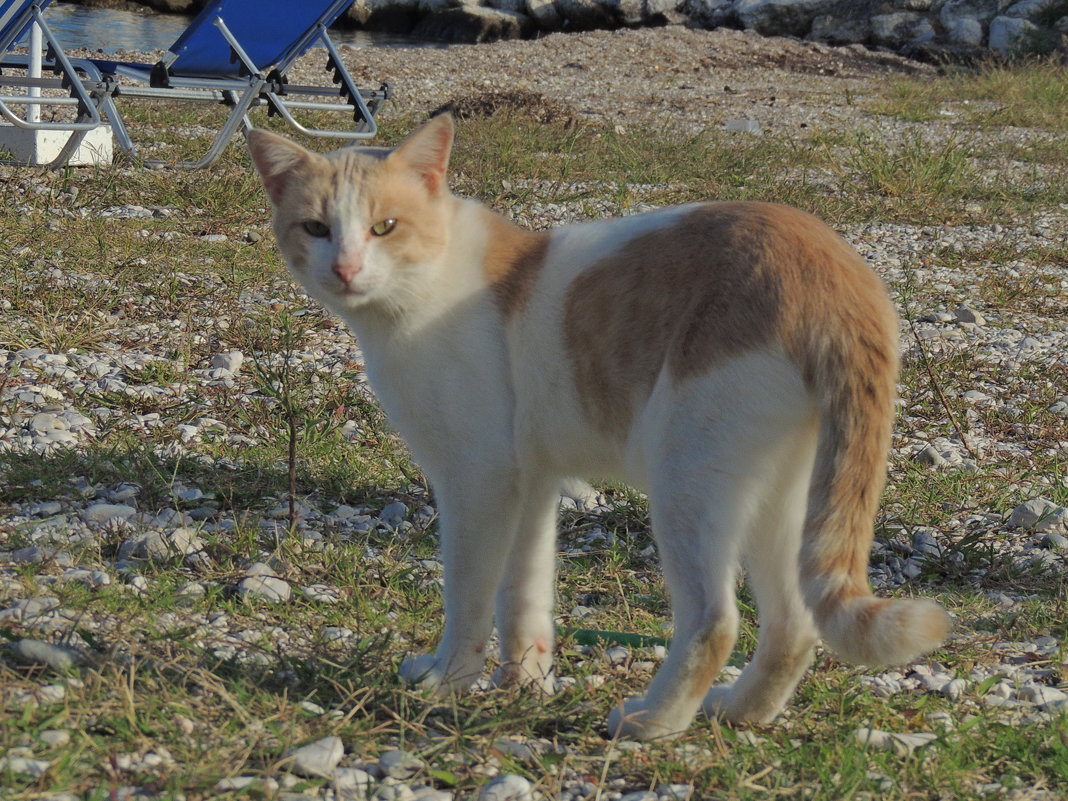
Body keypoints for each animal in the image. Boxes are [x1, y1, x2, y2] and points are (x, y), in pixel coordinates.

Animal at [249, 115, 952, 743]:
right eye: (316, 228)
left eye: (384, 228)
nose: (344, 269)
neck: (425, 287)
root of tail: (839, 270)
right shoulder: (528, 482)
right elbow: (523, 592)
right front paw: (524, 683)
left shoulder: (477, 479)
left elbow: (469, 593)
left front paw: (449, 680)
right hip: (778, 496)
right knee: (794, 625)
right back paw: (739, 713)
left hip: (688, 476)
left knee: (714, 621)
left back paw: (653, 723)